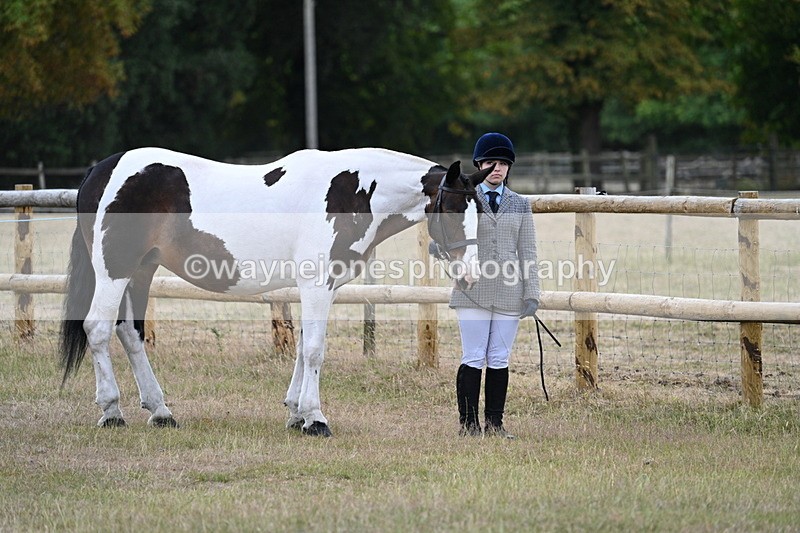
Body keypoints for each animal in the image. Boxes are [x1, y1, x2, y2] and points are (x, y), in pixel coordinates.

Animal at [59, 147, 491, 436]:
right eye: (453, 209)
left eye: (481, 211)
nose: (471, 274)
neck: (352, 191)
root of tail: (102, 170)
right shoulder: (316, 283)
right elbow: (315, 348)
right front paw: (315, 419)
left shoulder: (321, 286)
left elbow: (301, 345)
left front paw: (295, 413)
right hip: (114, 270)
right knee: (97, 329)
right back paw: (111, 412)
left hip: (141, 271)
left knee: (130, 333)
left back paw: (161, 411)